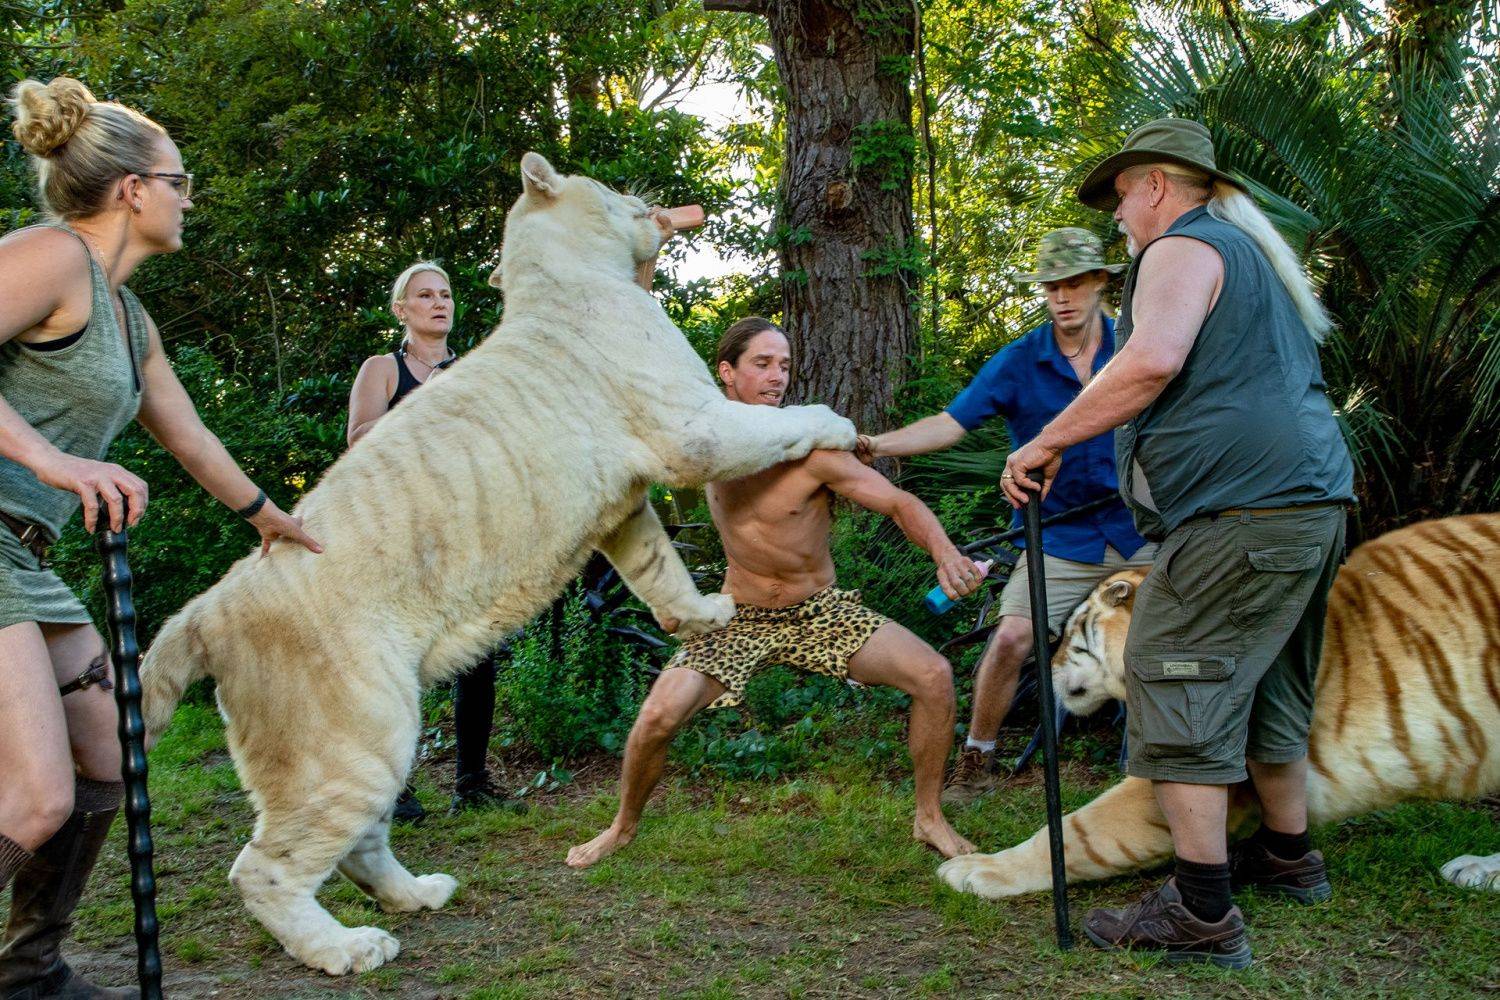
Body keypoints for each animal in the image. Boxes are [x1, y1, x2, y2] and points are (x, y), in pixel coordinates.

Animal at [936, 512, 1500, 893]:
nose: (1042, 668)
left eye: (1074, 635)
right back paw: (1473, 869)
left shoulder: (1187, 760)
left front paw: (975, 869)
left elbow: (1078, 832)